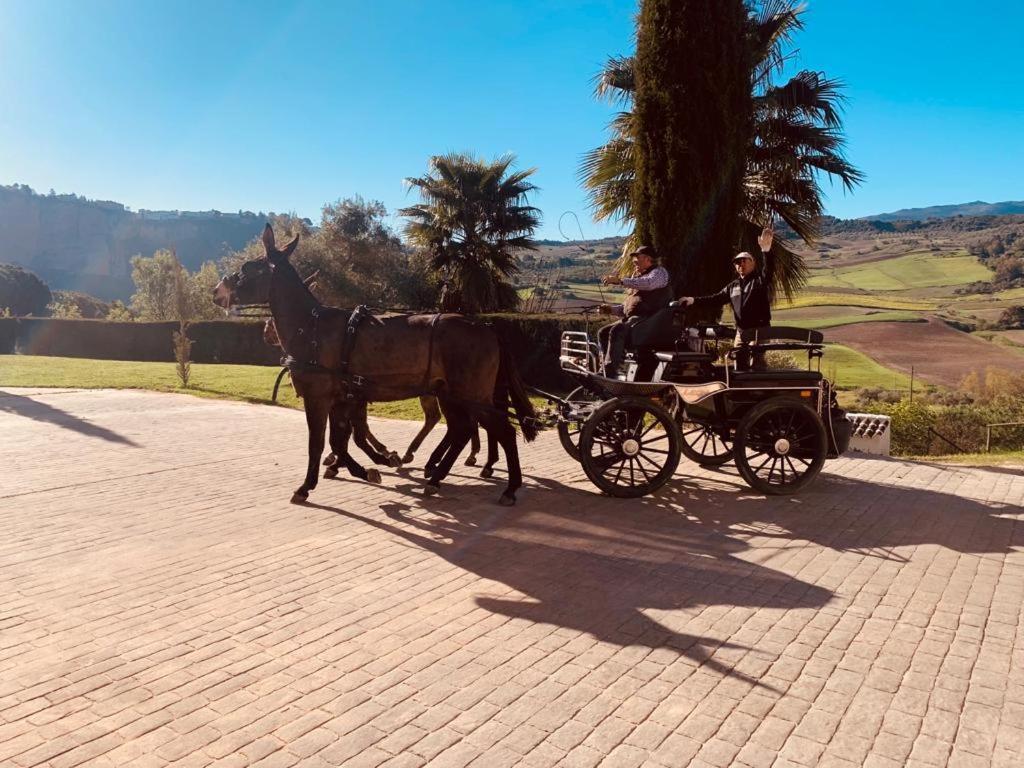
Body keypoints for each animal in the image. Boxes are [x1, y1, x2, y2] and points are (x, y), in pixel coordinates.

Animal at [215, 225, 536, 507]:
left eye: (246, 268)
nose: (217, 291)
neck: (312, 326)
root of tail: (486, 327)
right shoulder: (343, 399)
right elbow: (341, 441)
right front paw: (366, 467)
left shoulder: (318, 398)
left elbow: (319, 443)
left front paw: (307, 485)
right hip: (452, 395)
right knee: (462, 430)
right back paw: (435, 476)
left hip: (472, 395)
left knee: (501, 432)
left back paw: (509, 487)